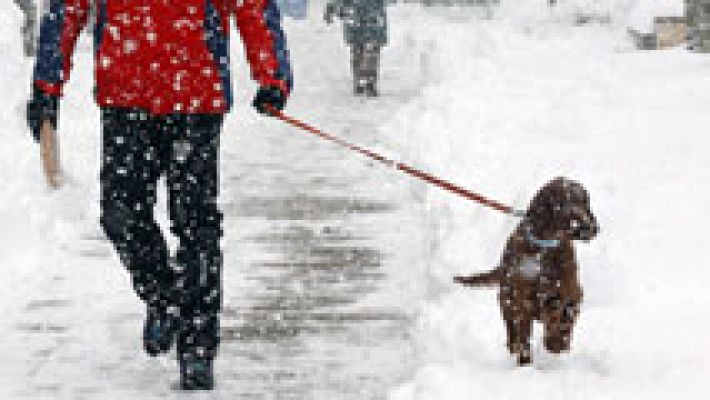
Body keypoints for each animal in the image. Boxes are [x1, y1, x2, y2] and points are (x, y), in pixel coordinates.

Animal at [454, 178, 596, 366]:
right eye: (565, 204)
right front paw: (525, 363)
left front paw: (555, 343)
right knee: (513, 332)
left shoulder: (568, 293)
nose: (591, 227)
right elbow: (524, 335)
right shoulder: (522, 300)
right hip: (506, 298)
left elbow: (560, 318)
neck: (545, 247)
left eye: (585, 202)